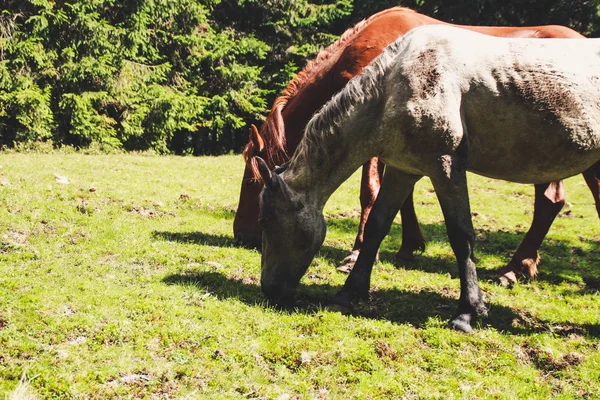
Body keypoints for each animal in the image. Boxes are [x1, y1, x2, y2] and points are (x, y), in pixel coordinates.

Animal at [256, 23, 600, 332]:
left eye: (266, 221)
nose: (269, 290)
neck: (394, 86)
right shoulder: (402, 169)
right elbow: (377, 226)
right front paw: (349, 293)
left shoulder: (445, 166)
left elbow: (461, 235)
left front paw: (467, 312)